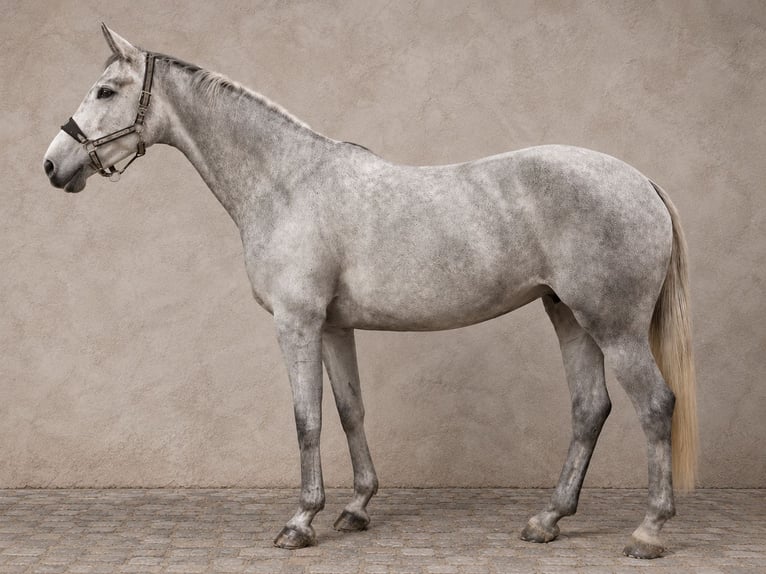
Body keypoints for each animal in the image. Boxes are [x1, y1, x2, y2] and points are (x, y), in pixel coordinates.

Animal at [43, 25, 697, 559]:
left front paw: (300, 521)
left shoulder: (297, 322)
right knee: (590, 408)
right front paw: (356, 508)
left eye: (106, 92)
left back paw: (648, 531)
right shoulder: (334, 325)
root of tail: (642, 181)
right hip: (568, 315)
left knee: (654, 405)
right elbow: (349, 410)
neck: (287, 182)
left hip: (613, 326)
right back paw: (547, 520)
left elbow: (306, 417)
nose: (53, 165)